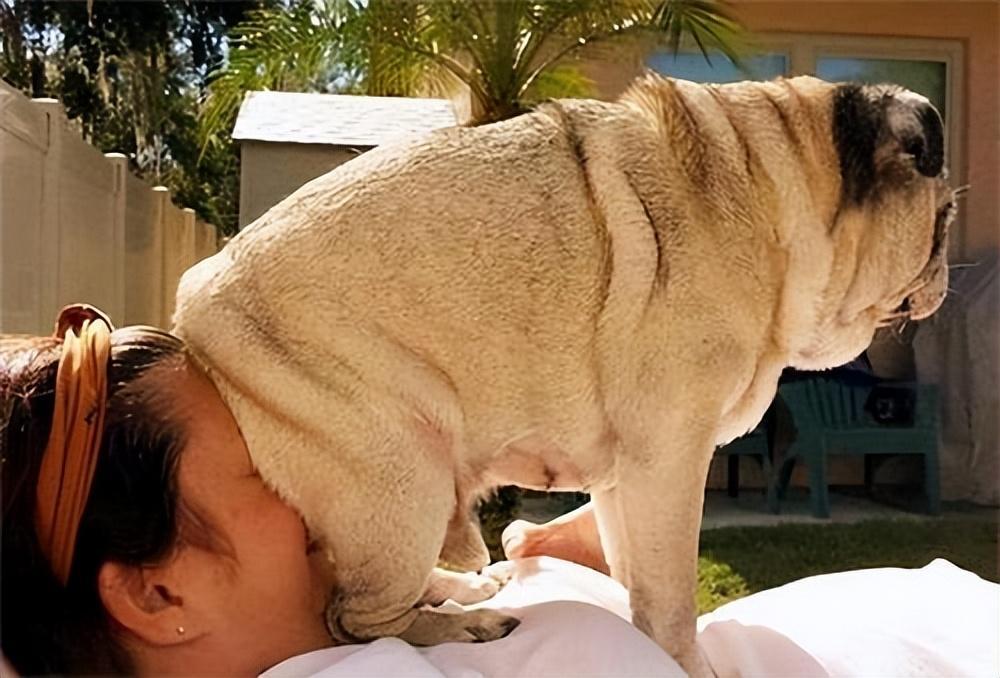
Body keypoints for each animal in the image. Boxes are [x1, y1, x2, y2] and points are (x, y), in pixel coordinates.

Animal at [174, 73, 956, 675]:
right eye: (944, 221)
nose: (946, 268)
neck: (771, 185)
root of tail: (195, 309)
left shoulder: (628, 479)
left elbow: (635, 573)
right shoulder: (671, 459)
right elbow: (671, 598)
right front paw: (684, 660)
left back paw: (463, 590)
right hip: (403, 477)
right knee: (355, 620)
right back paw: (462, 626)